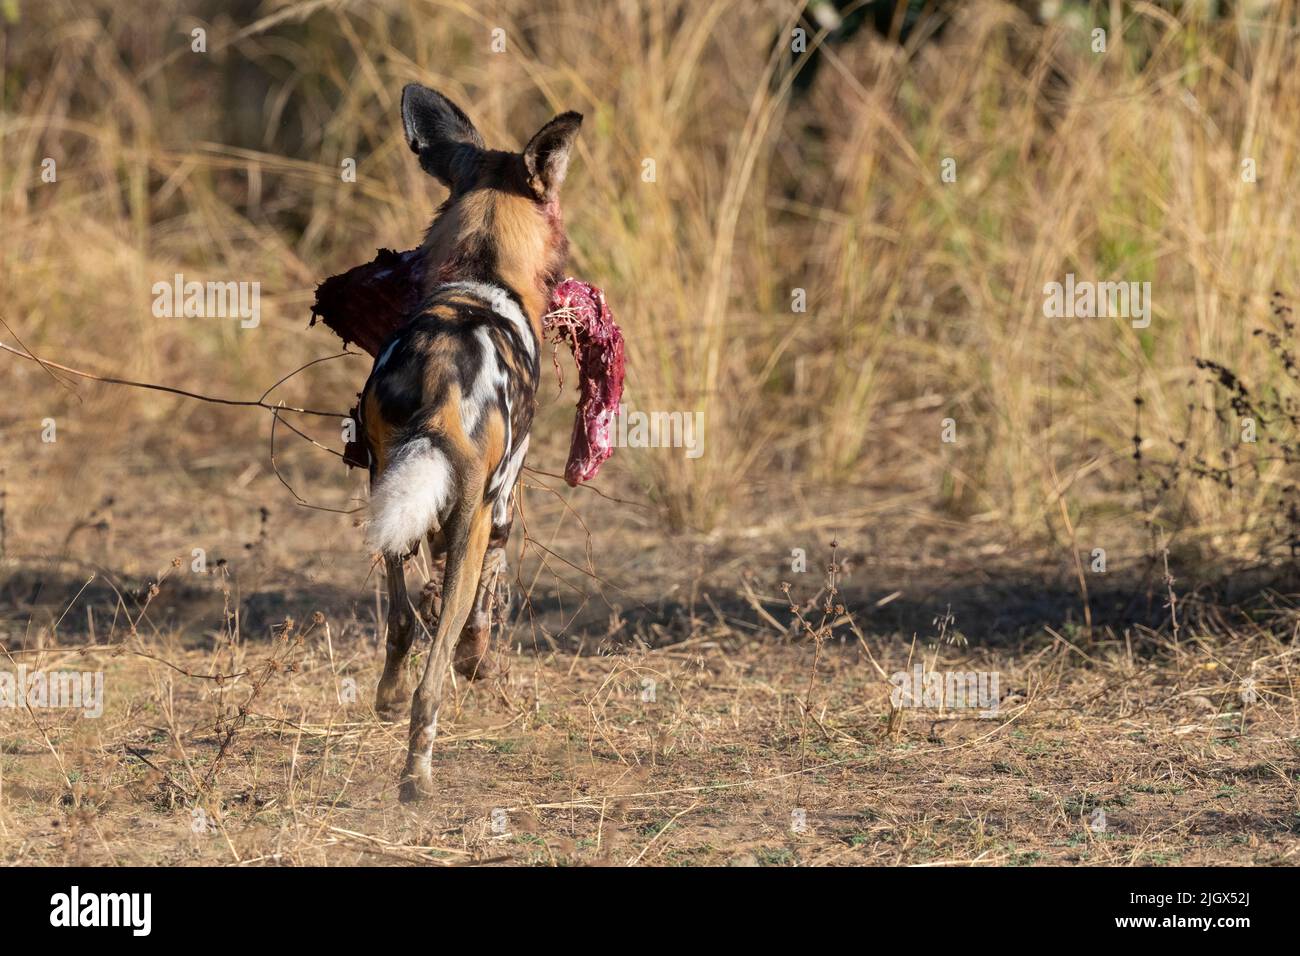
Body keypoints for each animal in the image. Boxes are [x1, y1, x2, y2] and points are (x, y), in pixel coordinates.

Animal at [361, 84, 581, 802]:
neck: (484, 271)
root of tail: (439, 372)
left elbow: (417, 610)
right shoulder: (501, 505)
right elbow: (482, 614)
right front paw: (478, 665)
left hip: (386, 498)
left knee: (402, 622)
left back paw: (388, 702)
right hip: (474, 519)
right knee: (435, 671)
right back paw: (417, 776)